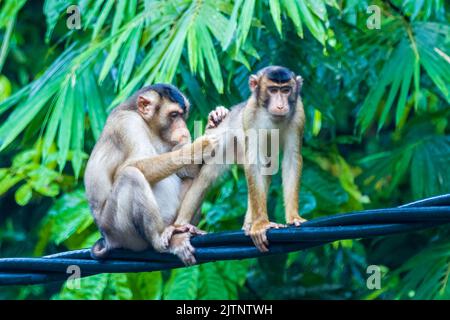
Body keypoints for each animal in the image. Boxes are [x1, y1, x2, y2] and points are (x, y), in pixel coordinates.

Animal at [83, 83, 229, 264]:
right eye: (174, 115)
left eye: (182, 115)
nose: (182, 126)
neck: (149, 126)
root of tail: (109, 240)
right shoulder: (127, 124)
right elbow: (129, 166)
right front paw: (199, 147)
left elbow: (187, 171)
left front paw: (214, 120)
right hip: (120, 232)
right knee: (131, 176)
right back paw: (160, 240)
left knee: (188, 178)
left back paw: (182, 229)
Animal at [171, 67, 306, 252]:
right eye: (273, 90)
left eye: (286, 90)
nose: (280, 105)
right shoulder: (250, 114)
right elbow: (254, 161)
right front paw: (261, 224)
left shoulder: (298, 113)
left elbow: (291, 158)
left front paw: (293, 217)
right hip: (223, 142)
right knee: (207, 176)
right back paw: (181, 225)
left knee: (266, 167)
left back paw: (249, 224)